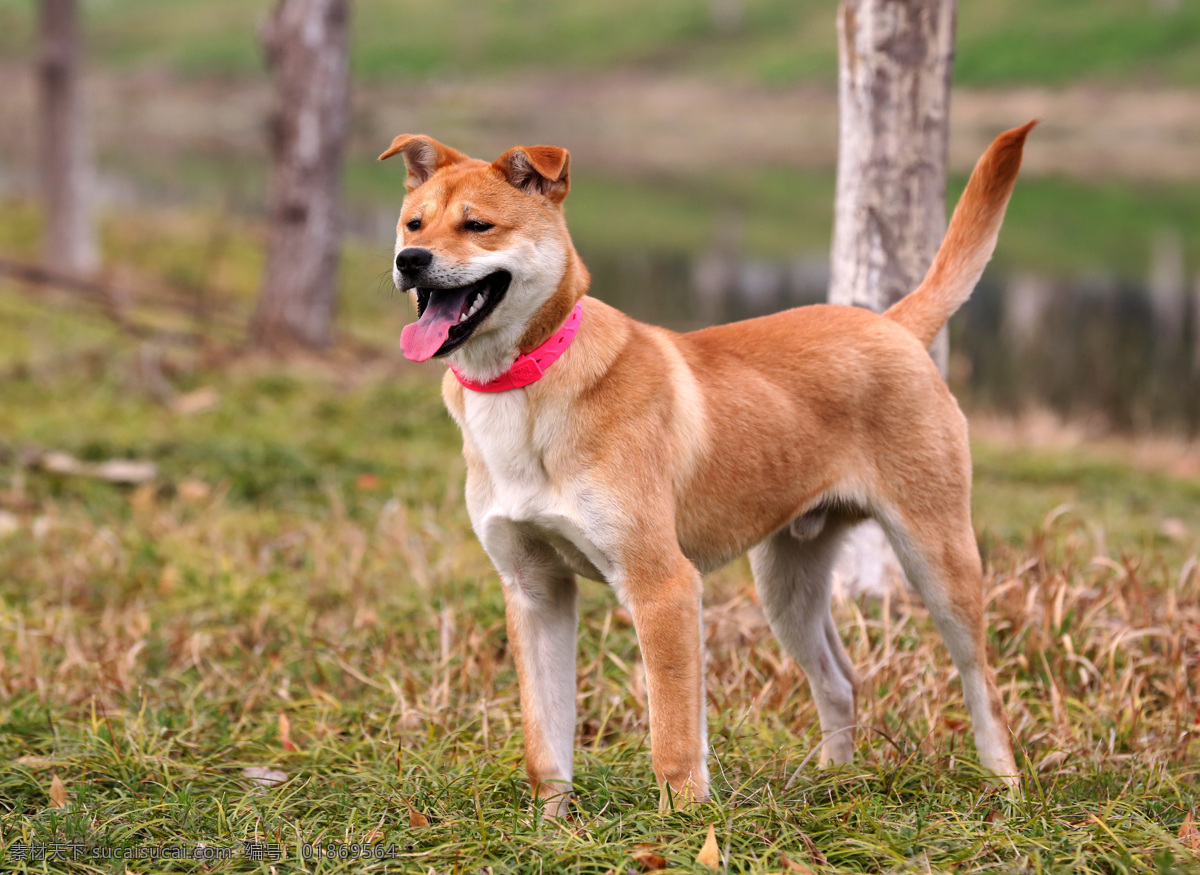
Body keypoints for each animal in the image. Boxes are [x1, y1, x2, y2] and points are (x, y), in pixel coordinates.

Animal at [381, 121, 1032, 811]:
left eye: (478, 225)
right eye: (413, 223)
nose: (410, 260)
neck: (527, 384)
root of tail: (892, 325)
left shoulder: (662, 587)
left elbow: (671, 732)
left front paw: (685, 821)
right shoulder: (534, 592)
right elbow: (546, 743)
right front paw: (551, 825)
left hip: (938, 558)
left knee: (982, 683)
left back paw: (1006, 790)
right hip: (787, 584)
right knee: (840, 679)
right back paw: (835, 782)